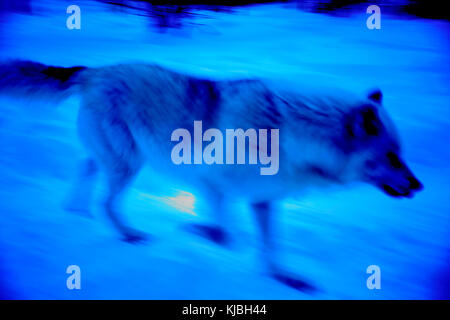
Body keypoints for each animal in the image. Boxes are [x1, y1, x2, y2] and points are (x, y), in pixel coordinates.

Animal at [0, 60, 422, 292]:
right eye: (392, 156)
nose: (419, 187)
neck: (291, 134)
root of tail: (94, 71)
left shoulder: (261, 200)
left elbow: (271, 249)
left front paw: (286, 279)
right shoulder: (210, 184)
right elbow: (224, 234)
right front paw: (197, 234)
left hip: (118, 159)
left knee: (85, 169)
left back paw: (76, 210)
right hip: (128, 165)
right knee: (107, 200)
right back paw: (128, 234)